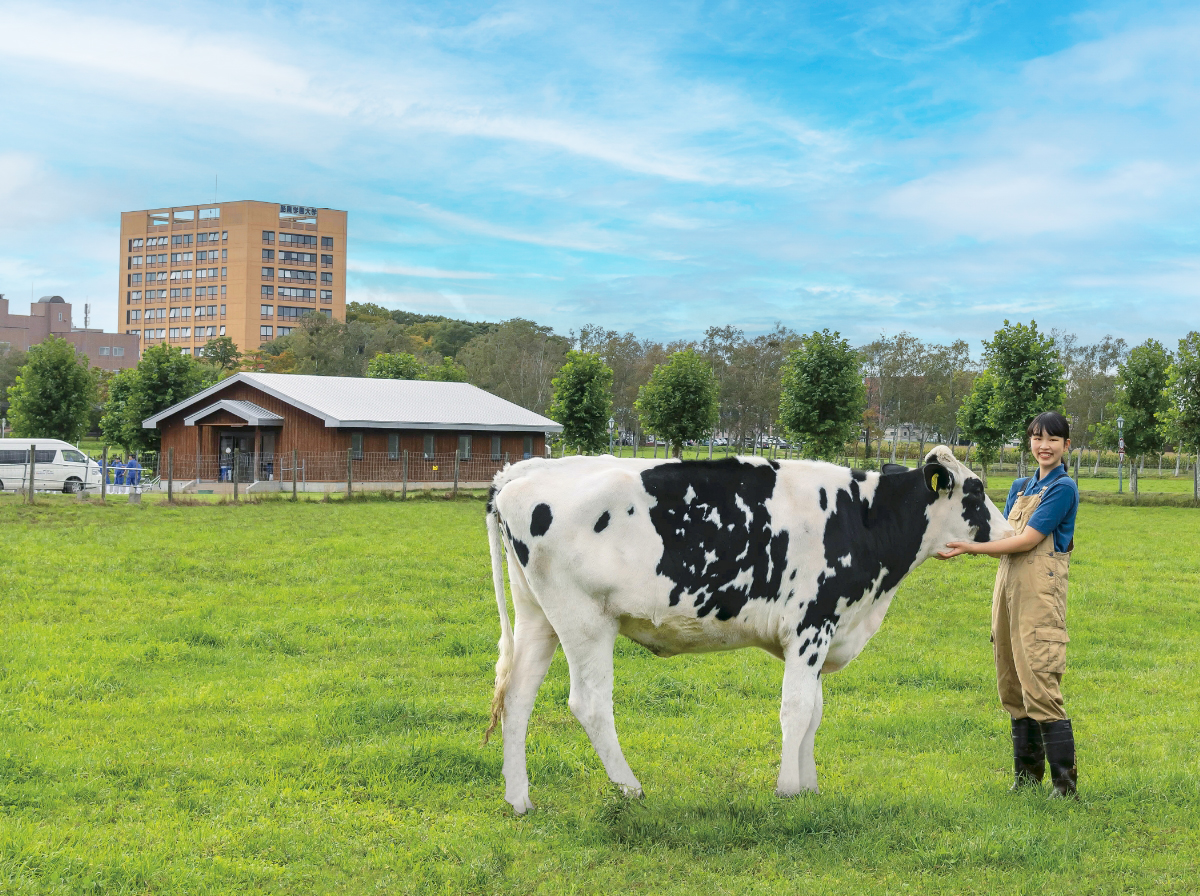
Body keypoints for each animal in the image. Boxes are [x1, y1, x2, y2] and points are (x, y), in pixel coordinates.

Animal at [482, 446, 1008, 810]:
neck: (864, 518)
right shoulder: (812, 624)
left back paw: (519, 799)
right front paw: (789, 789)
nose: (1008, 534)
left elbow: (814, 713)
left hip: (539, 617)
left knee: (517, 697)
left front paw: (810, 785)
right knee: (589, 704)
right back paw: (630, 788)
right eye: (976, 491)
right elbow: (797, 710)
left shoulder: (820, 634)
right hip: (585, 621)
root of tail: (523, 473)